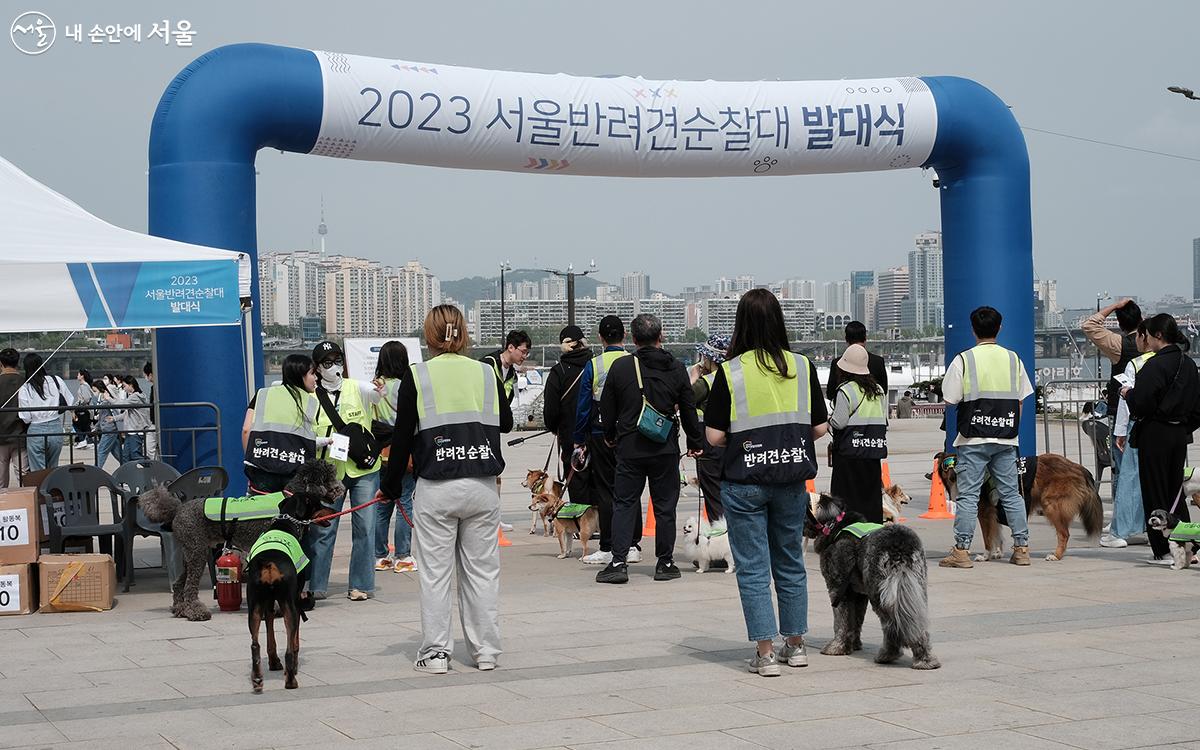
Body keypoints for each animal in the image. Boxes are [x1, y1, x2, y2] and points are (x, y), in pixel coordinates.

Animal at [142, 463, 348, 619]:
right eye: (329, 478)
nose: (342, 488)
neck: (288, 501)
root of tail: (177, 509)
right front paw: (277, 609)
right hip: (197, 551)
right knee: (189, 586)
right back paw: (196, 612)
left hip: (192, 551)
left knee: (179, 583)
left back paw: (180, 609)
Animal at [801, 492, 940, 667]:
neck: (835, 525)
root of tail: (900, 547)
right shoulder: (859, 593)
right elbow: (856, 620)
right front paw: (853, 645)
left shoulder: (838, 589)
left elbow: (841, 621)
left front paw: (836, 647)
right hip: (916, 588)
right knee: (918, 624)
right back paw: (925, 659)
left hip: (880, 592)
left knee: (891, 625)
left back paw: (888, 655)